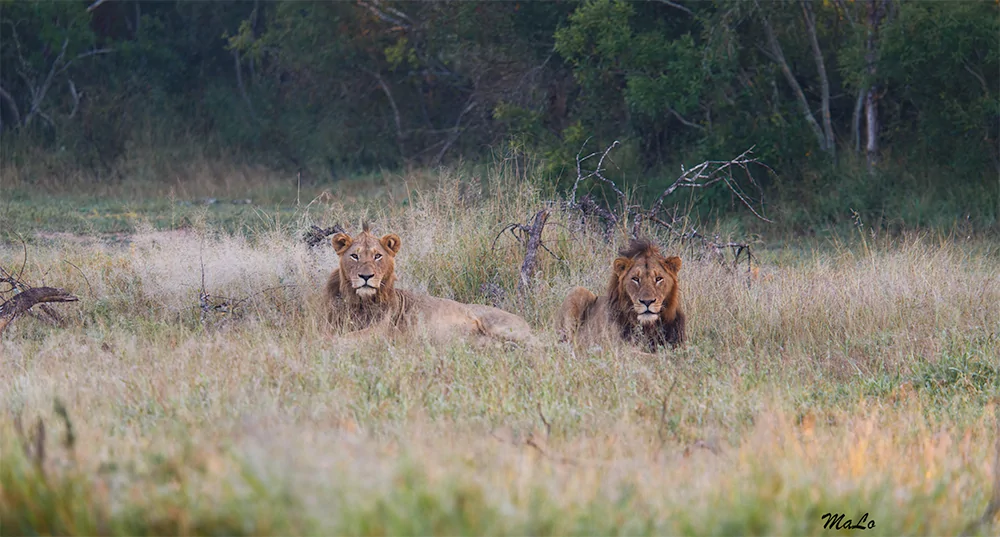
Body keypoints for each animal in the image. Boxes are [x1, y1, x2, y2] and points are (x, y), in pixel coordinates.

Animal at [325, 225, 536, 347]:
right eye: (355, 256)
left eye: (378, 256)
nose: (366, 276)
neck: (361, 302)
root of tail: (525, 322)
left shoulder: (381, 331)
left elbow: (341, 340)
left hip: (499, 326)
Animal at [555, 238, 686, 351]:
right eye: (635, 279)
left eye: (658, 278)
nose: (647, 302)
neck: (649, 327)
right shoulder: (619, 348)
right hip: (577, 291)